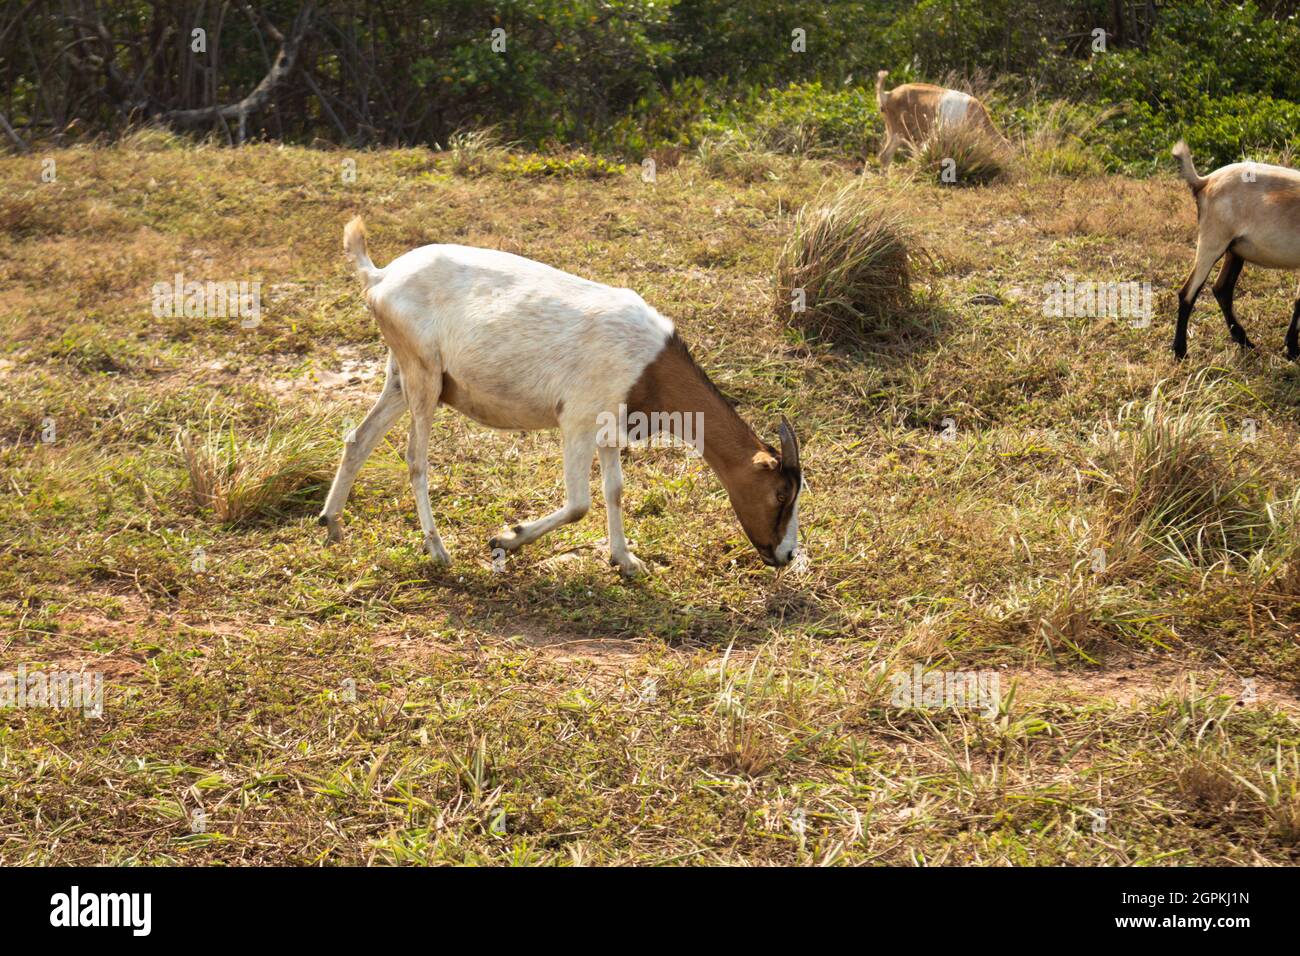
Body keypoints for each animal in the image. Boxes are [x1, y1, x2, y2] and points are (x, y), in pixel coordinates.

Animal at [317, 217, 800, 574]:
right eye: (780, 494)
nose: (786, 554)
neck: (651, 362)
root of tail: (381, 276)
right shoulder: (577, 421)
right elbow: (579, 504)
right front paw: (506, 538)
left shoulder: (609, 431)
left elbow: (614, 490)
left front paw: (626, 561)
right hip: (424, 378)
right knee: (416, 459)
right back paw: (437, 551)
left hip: (401, 376)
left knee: (359, 438)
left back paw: (332, 525)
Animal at [1170, 143, 1300, 361]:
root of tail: (1206, 180)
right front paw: (1292, 350)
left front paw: (1291, 348)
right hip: (1213, 240)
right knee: (1188, 292)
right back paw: (1181, 352)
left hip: (1234, 250)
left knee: (1221, 289)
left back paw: (1245, 341)